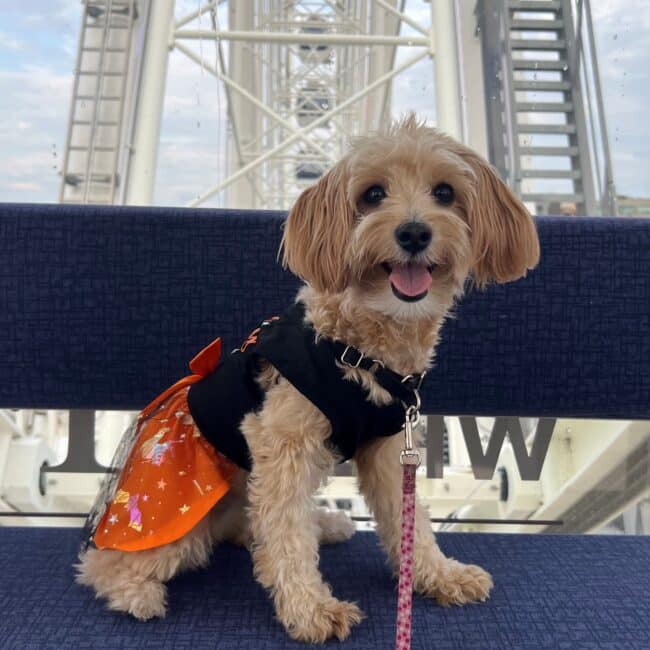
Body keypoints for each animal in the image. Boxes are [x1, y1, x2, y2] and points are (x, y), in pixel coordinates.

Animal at [74, 115, 536, 636]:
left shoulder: (390, 446)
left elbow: (410, 518)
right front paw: (311, 608)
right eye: (373, 194)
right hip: (175, 515)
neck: (359, 352)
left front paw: (439, 574)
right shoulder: (282, 441)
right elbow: (287, 534)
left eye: (444, 192)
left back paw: (326, 524)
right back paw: (138, 593)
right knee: (102, 563)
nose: (414, 233)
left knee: (248, 528)